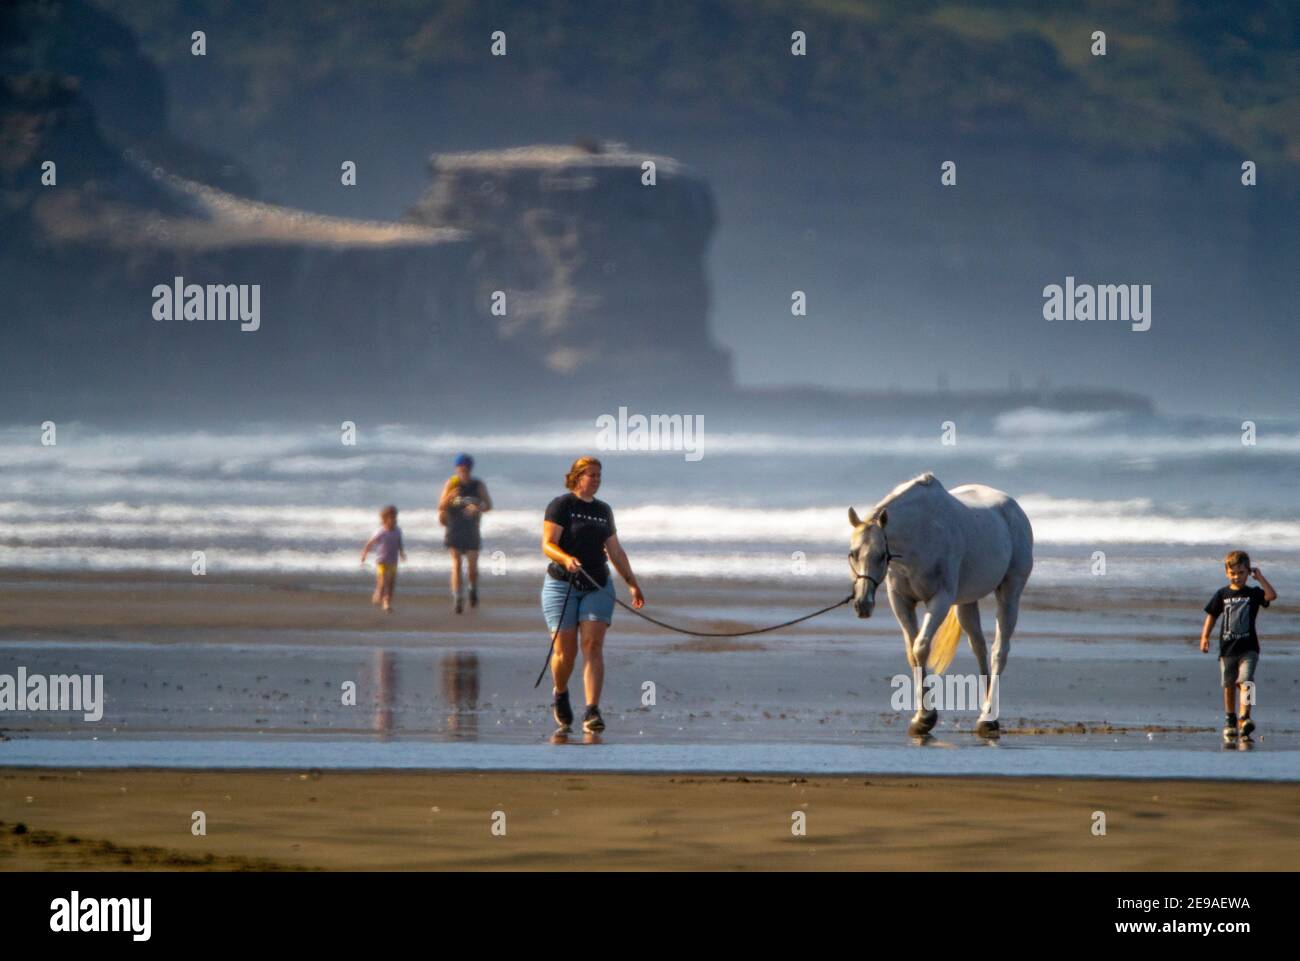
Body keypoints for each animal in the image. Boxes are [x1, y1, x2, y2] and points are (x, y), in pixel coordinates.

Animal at [852, 473, 1034, 738]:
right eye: (853, 553)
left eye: (881, 555)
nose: (862, 604)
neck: (921, 531)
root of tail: (1014, 508)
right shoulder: (901, 601)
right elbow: (912, 652)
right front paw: (920, 717)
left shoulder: (940, 599)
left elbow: (921, 647)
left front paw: (926, 718)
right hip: (967, 602)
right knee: (979, 647)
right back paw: (988, 712)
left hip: (1010, 592)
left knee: (1000, 650)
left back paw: (988, 718)